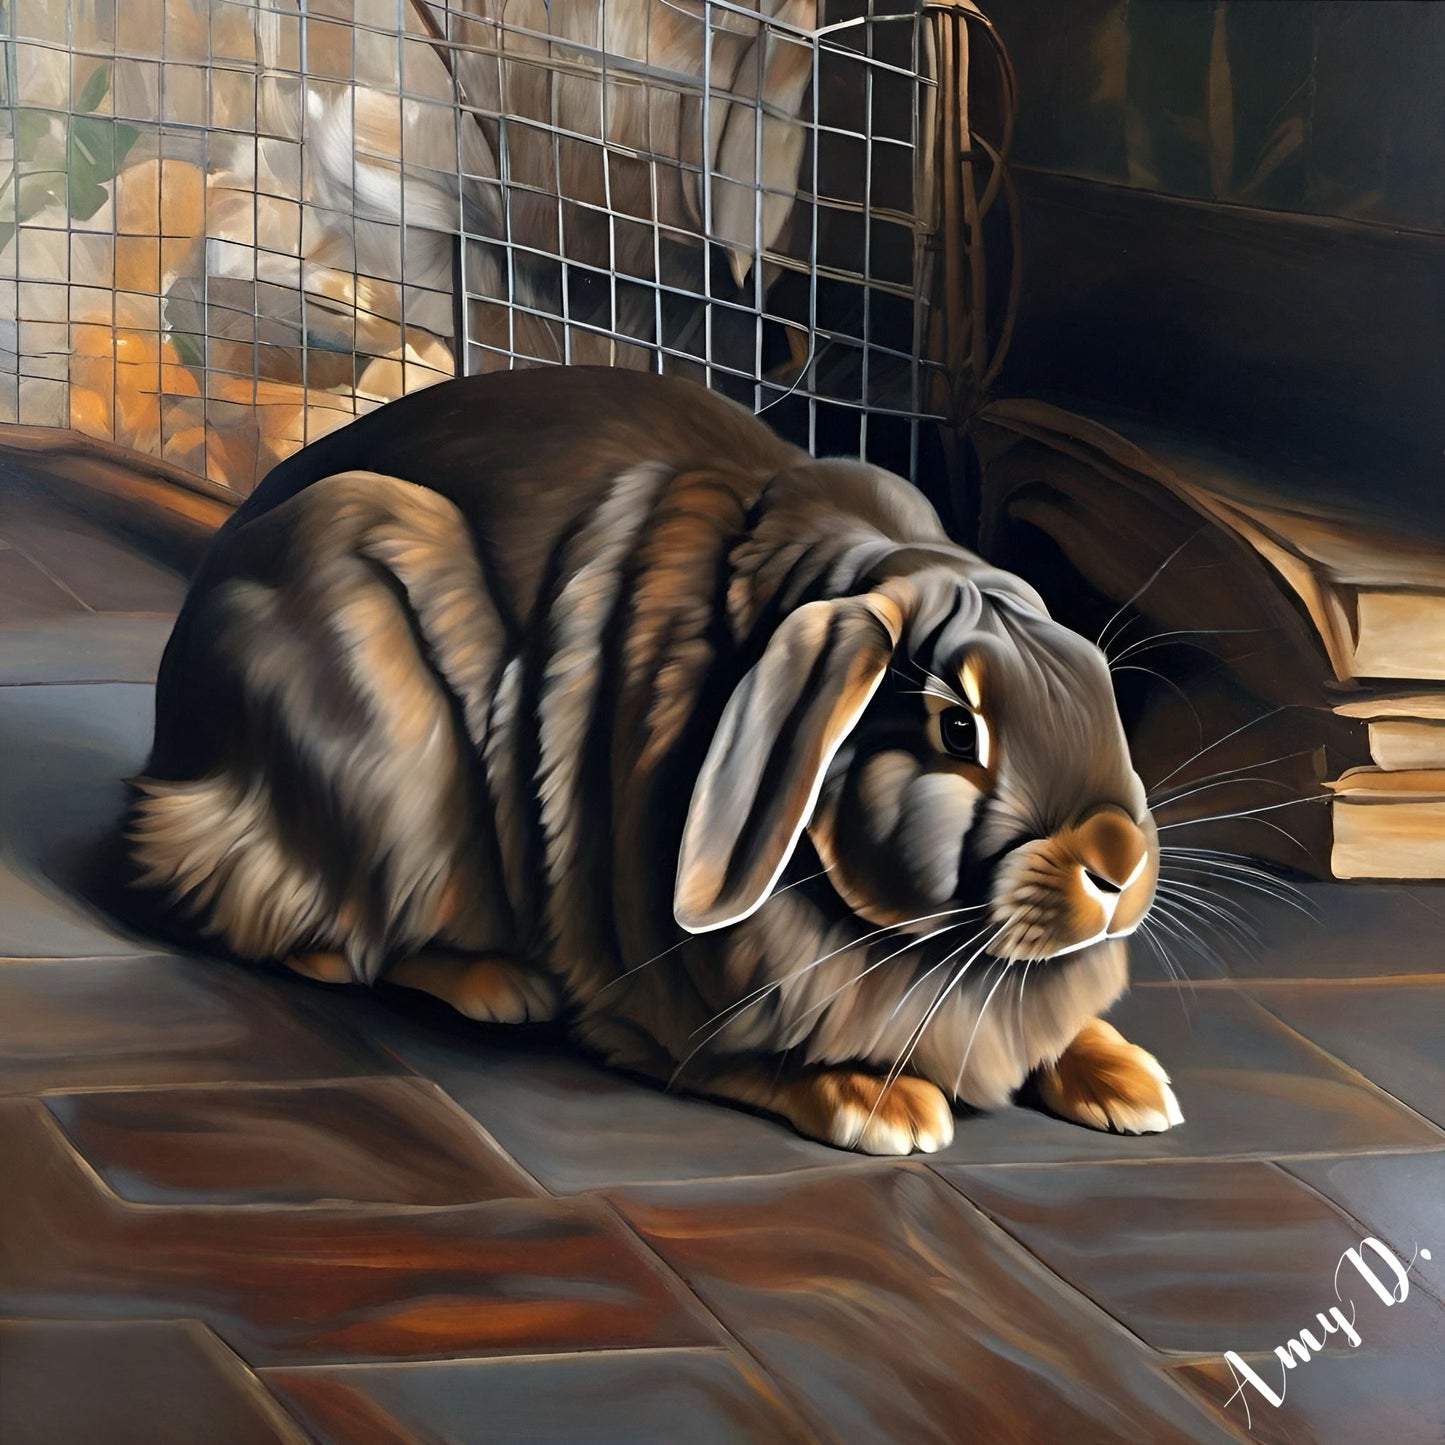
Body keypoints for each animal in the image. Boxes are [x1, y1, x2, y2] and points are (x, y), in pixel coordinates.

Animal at [129, 366, 1182, 1155]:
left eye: (1093, 682)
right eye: (956, 729)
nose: (1118, 864)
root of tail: (171, 741)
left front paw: (1131, 1081)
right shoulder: (669, 1012)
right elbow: (744, 1057)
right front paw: (879, 1101)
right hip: (368, 674)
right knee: (306, 922)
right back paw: (498, 985)